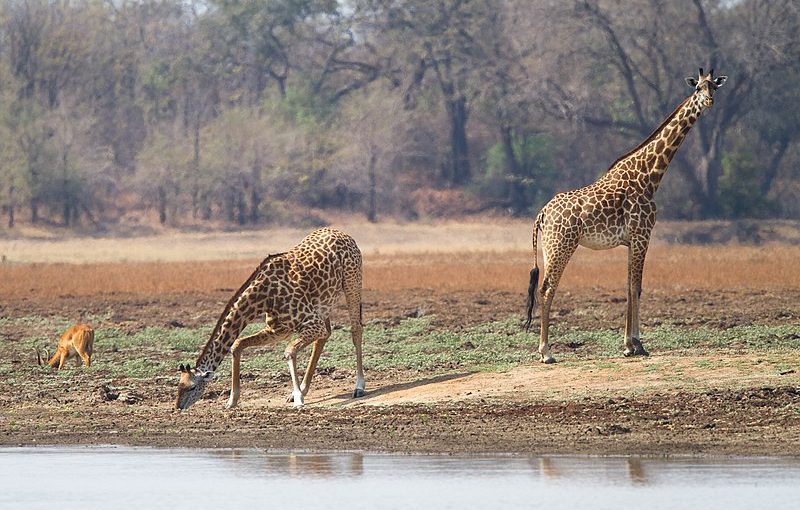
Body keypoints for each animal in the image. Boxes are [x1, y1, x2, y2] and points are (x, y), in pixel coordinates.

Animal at [176, 227, 366, 410]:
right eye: (179, 386)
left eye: (192, 387)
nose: (179, 406)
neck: (263, 298)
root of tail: (344, 235)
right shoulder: (278, 330)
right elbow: (237, 345)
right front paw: (232, 401)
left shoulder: (312, 323)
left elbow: (289, 351)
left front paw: (299, 399)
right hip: (324, 303)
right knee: (325, 336)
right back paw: (303, 389)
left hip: (352, 281)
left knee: (356, 329)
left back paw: (359, 387)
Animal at [520, 68, 728, 362]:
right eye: (698, 88)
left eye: (714, 87)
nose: (709, 101)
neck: (650, 176)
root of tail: (542, 213)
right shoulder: (643, 235)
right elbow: (637, 287)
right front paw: (638, 344)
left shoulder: (630, 241)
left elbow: (629, 288)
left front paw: (629, 345)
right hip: (562, 246)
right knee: (547, 287)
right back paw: (546, 352)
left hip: (549, 249)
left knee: (543, 287)